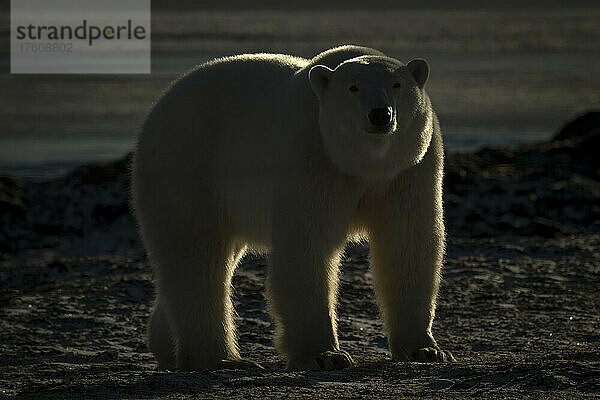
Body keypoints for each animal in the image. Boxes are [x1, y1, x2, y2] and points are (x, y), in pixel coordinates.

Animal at [131, 45, 454, 370]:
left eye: (396, 84)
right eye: (353, 87)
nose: (380, 115)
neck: (363, 163)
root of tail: (160, 104)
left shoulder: (410, 169)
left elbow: (407, 243)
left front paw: (426, 350)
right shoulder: (311, 155)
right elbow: (306, 246)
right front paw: (325, 355)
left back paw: (168, 348)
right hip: (189, 164)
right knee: (195, 254)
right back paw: (221, 358)